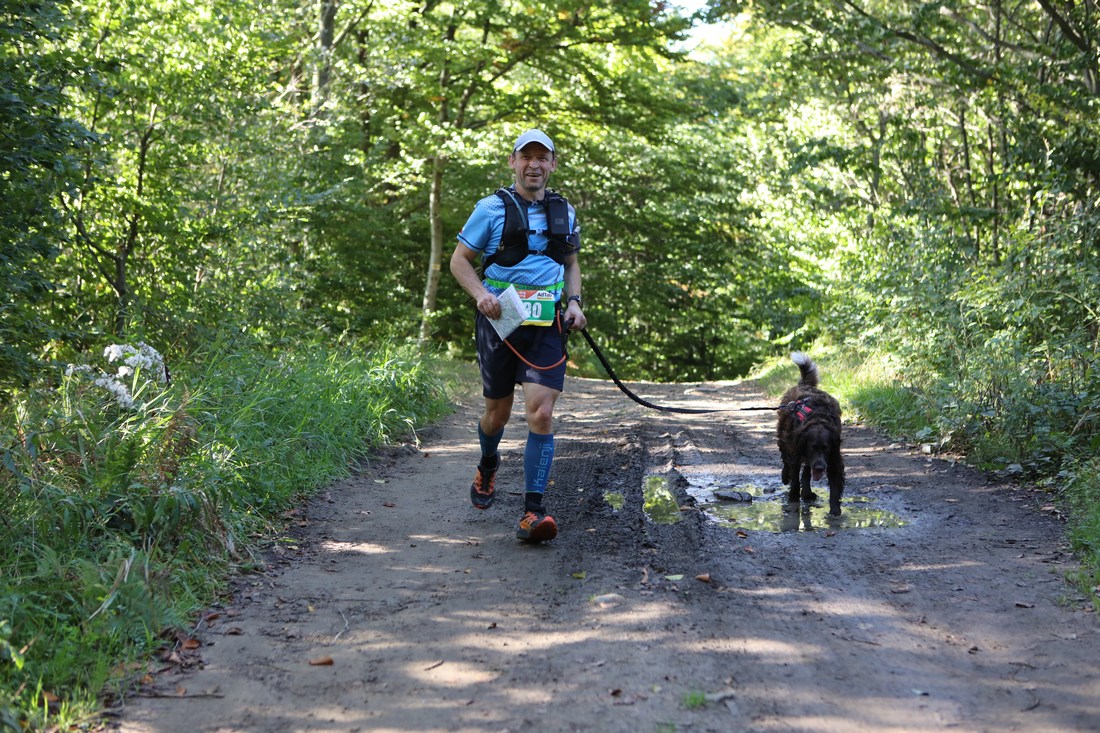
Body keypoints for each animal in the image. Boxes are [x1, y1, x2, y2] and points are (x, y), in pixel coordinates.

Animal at [776, 352, 845, 516]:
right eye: (812, 447)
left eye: (826, 448)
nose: (819, 468)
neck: (817, 418)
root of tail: (804, 385)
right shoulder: (797, 449)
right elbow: (795, 479)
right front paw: (793, 500)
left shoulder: (833, 456)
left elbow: (834, 485)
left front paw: (835, 510)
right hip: (784, 438)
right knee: (786, 460)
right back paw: (786, 477)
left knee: (807, 471)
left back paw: (807, 493)